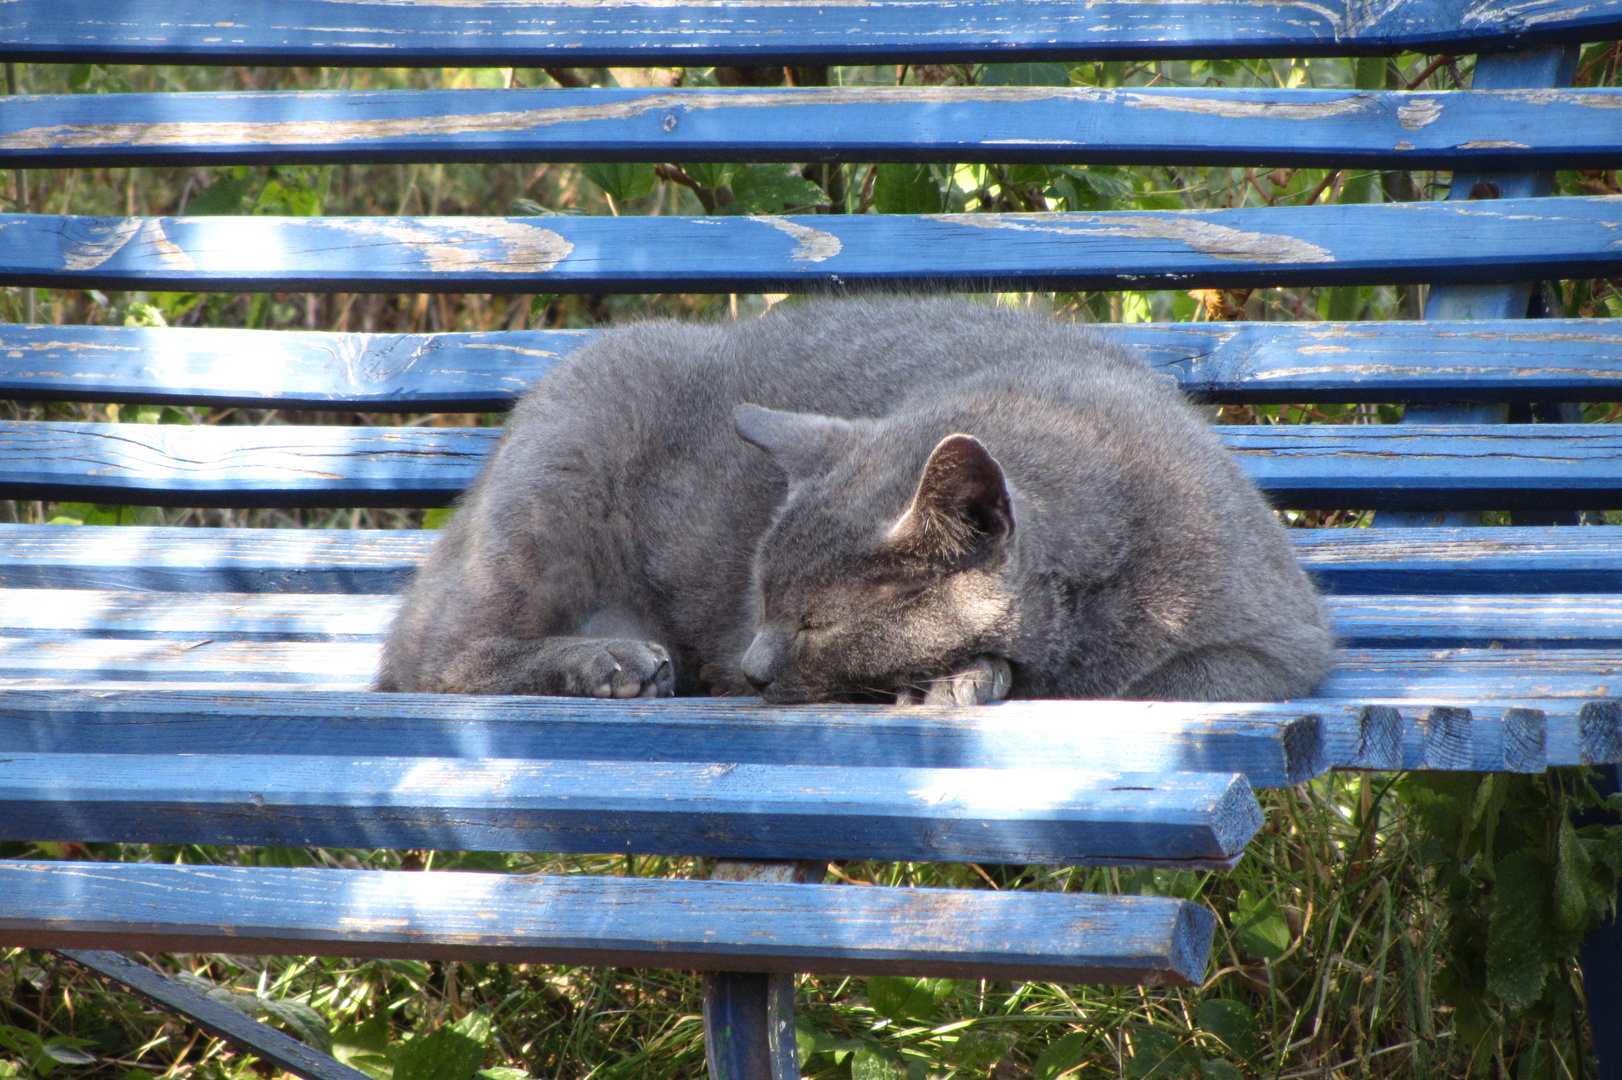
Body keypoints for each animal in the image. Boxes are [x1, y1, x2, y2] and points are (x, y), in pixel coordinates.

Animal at [376, 295, 1330, 703]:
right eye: (762, 601)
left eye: (817, 622)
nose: (751, 669)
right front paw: (970, 676)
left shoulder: (1275, 647)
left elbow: (1141, 688)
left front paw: (976, 676)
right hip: (562, 467)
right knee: (430, 660)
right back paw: (610, 663)